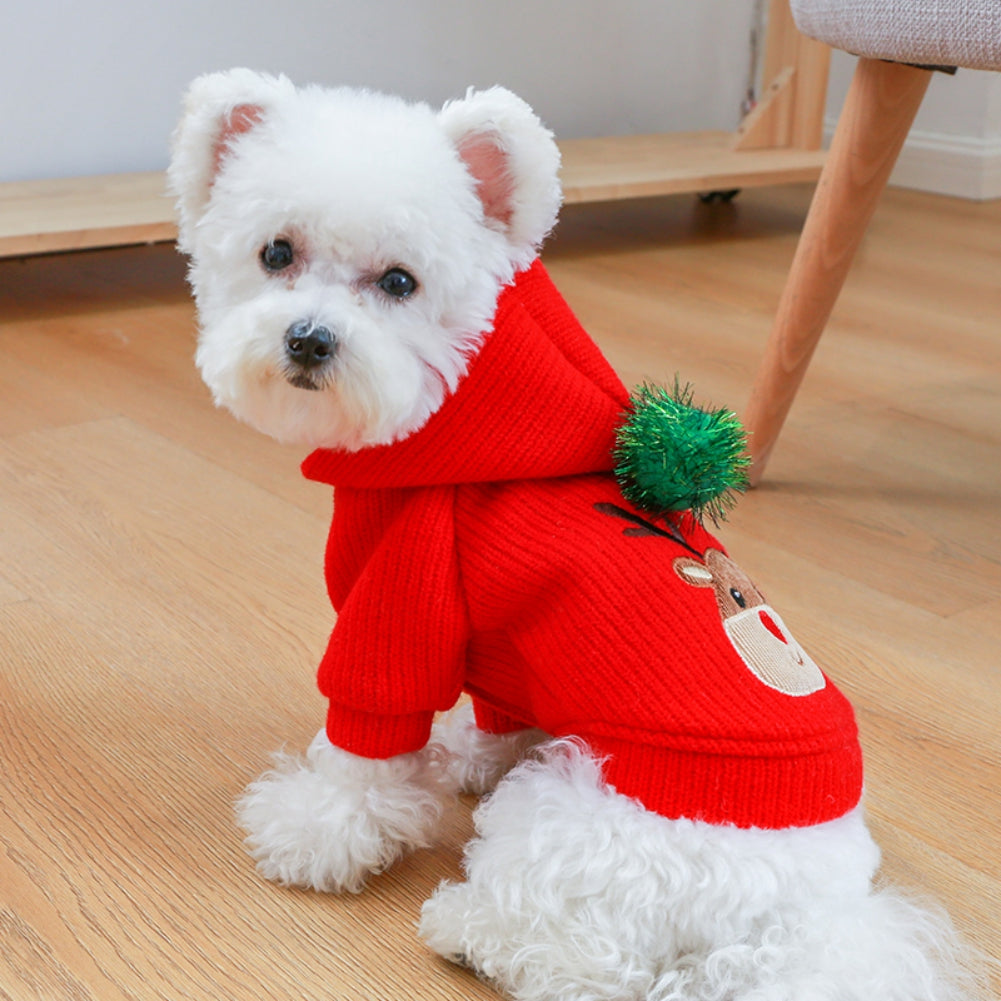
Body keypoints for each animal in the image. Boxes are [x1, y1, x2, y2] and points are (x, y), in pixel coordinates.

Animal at [166, 70, 976, 1001]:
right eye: (275, 253)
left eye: (401, 281)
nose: (308, 338)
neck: (455, 404)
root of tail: (812, 921)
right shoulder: (496, 646)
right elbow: (499, 711)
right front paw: (472, 754)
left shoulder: (400, 605)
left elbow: (362, 745)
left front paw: (315, 831)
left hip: (576, 820)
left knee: (584, 961)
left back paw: (470, 927)